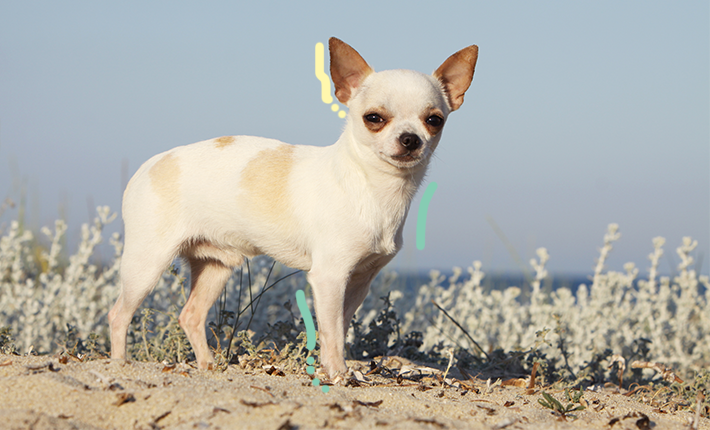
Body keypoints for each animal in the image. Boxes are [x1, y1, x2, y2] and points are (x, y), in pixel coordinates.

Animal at [110, 38, 478, 378]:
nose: (410, 138)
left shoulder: (358, 281)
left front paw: (334, 368)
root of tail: (149, 165)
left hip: (215, 265)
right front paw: (338, 374)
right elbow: (331, 331)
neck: (374, 189)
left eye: (434, 121)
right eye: (373, 118)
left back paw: (207, 366)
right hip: (147, 263)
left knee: (191, 315)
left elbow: (339, 327)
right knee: (119, 314)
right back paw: (120, 363)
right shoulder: (330, 277)